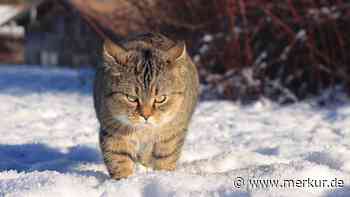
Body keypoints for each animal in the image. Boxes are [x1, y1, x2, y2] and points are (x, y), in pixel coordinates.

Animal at [93, 32, 200, 180]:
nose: (146, 115)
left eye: (161, 99)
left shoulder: (172, 133)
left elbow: (166, 157)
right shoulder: (113, 129)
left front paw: (164, 176)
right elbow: (118, 158)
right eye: (131, 98)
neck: (144, 131)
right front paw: (124, 180)